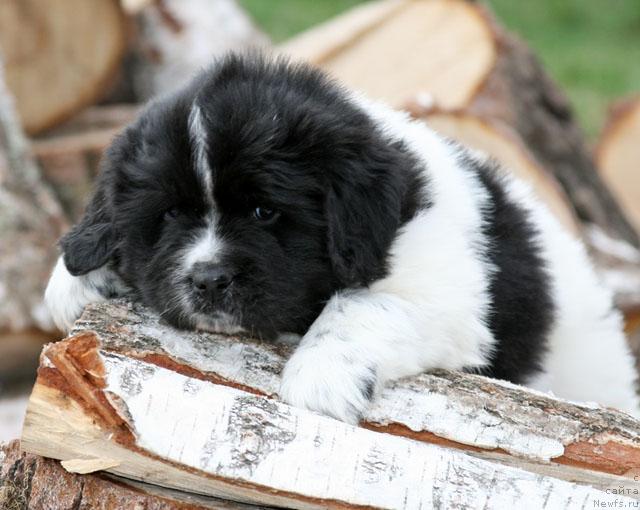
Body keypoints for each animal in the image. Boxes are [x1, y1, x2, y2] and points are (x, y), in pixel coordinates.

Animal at [45, 54, 640, 422]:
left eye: (264, 211)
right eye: (169, 215)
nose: (209, 280)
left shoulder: (448, 292)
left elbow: (361, 307)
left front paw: (320, 379)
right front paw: (77, 280)